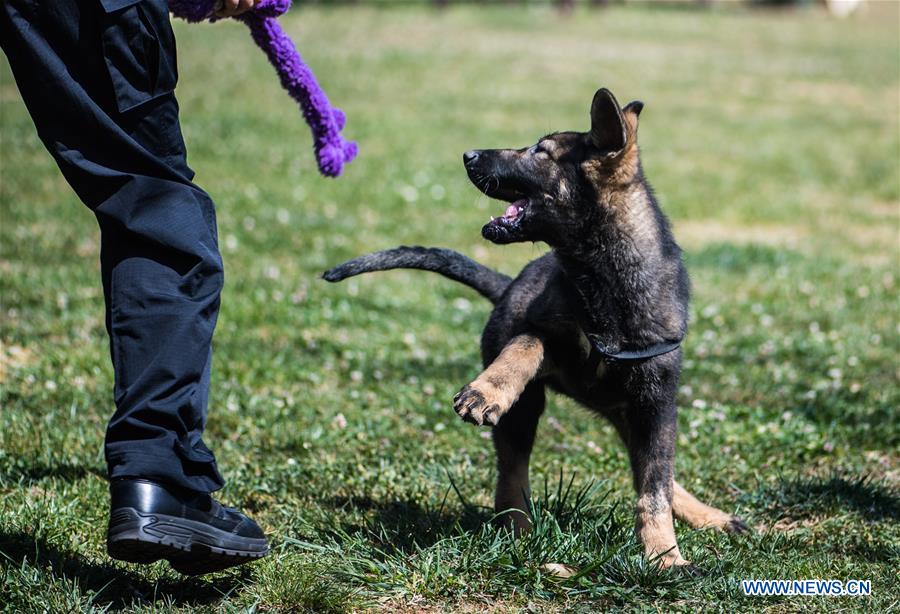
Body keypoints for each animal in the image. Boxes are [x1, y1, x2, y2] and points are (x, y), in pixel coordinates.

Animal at [326, 89, 748, 572]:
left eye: (540, 152)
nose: (468, 155)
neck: (598, 279)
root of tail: (507, 285)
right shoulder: (546, 334)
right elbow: (526, 346)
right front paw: (486, 391)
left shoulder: (655, 402)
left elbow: (653, 487)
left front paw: (664, 555)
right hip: (530, 409)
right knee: (512, 475)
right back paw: (520, 537)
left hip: (629, 411)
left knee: (653, 469)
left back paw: (707, 516)